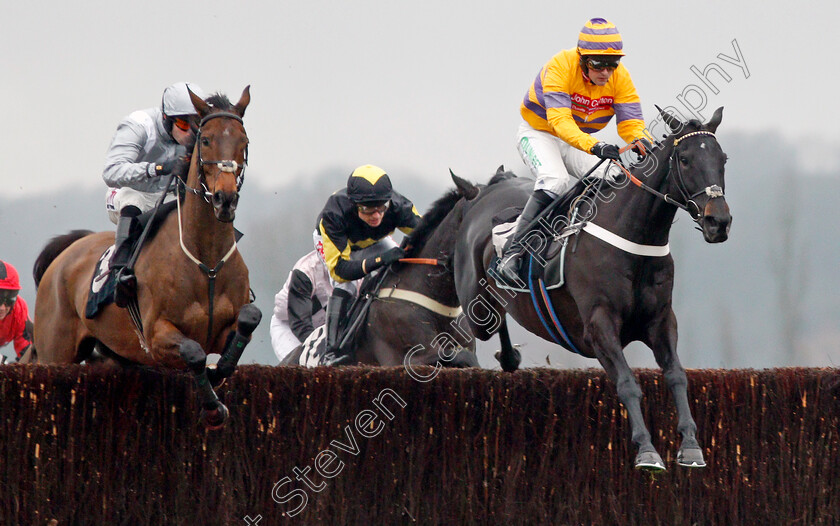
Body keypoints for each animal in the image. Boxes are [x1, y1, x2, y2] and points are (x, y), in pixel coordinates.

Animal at [27, 86, 260, 432]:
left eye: (244, 141)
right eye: (206, 140)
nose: (225, 199)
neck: (206, 260)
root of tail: (67, 251)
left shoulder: (225, 330)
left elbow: (247, 321)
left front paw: (218, 374)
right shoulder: (156, 336)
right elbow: (193, 352)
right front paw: (212, 407)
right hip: (55, 351)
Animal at [450, 109, 732, 472]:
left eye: (722, 159)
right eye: (684, 159)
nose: (718, 222)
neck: (634, 237)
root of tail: (484, 194)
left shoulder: (661, 321)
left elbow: (677, 375)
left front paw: (692, 446)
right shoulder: (599, 325)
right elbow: (627, 383)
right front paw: (647, 451)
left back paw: (510, 357)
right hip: (476, 305)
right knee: (482, 323)